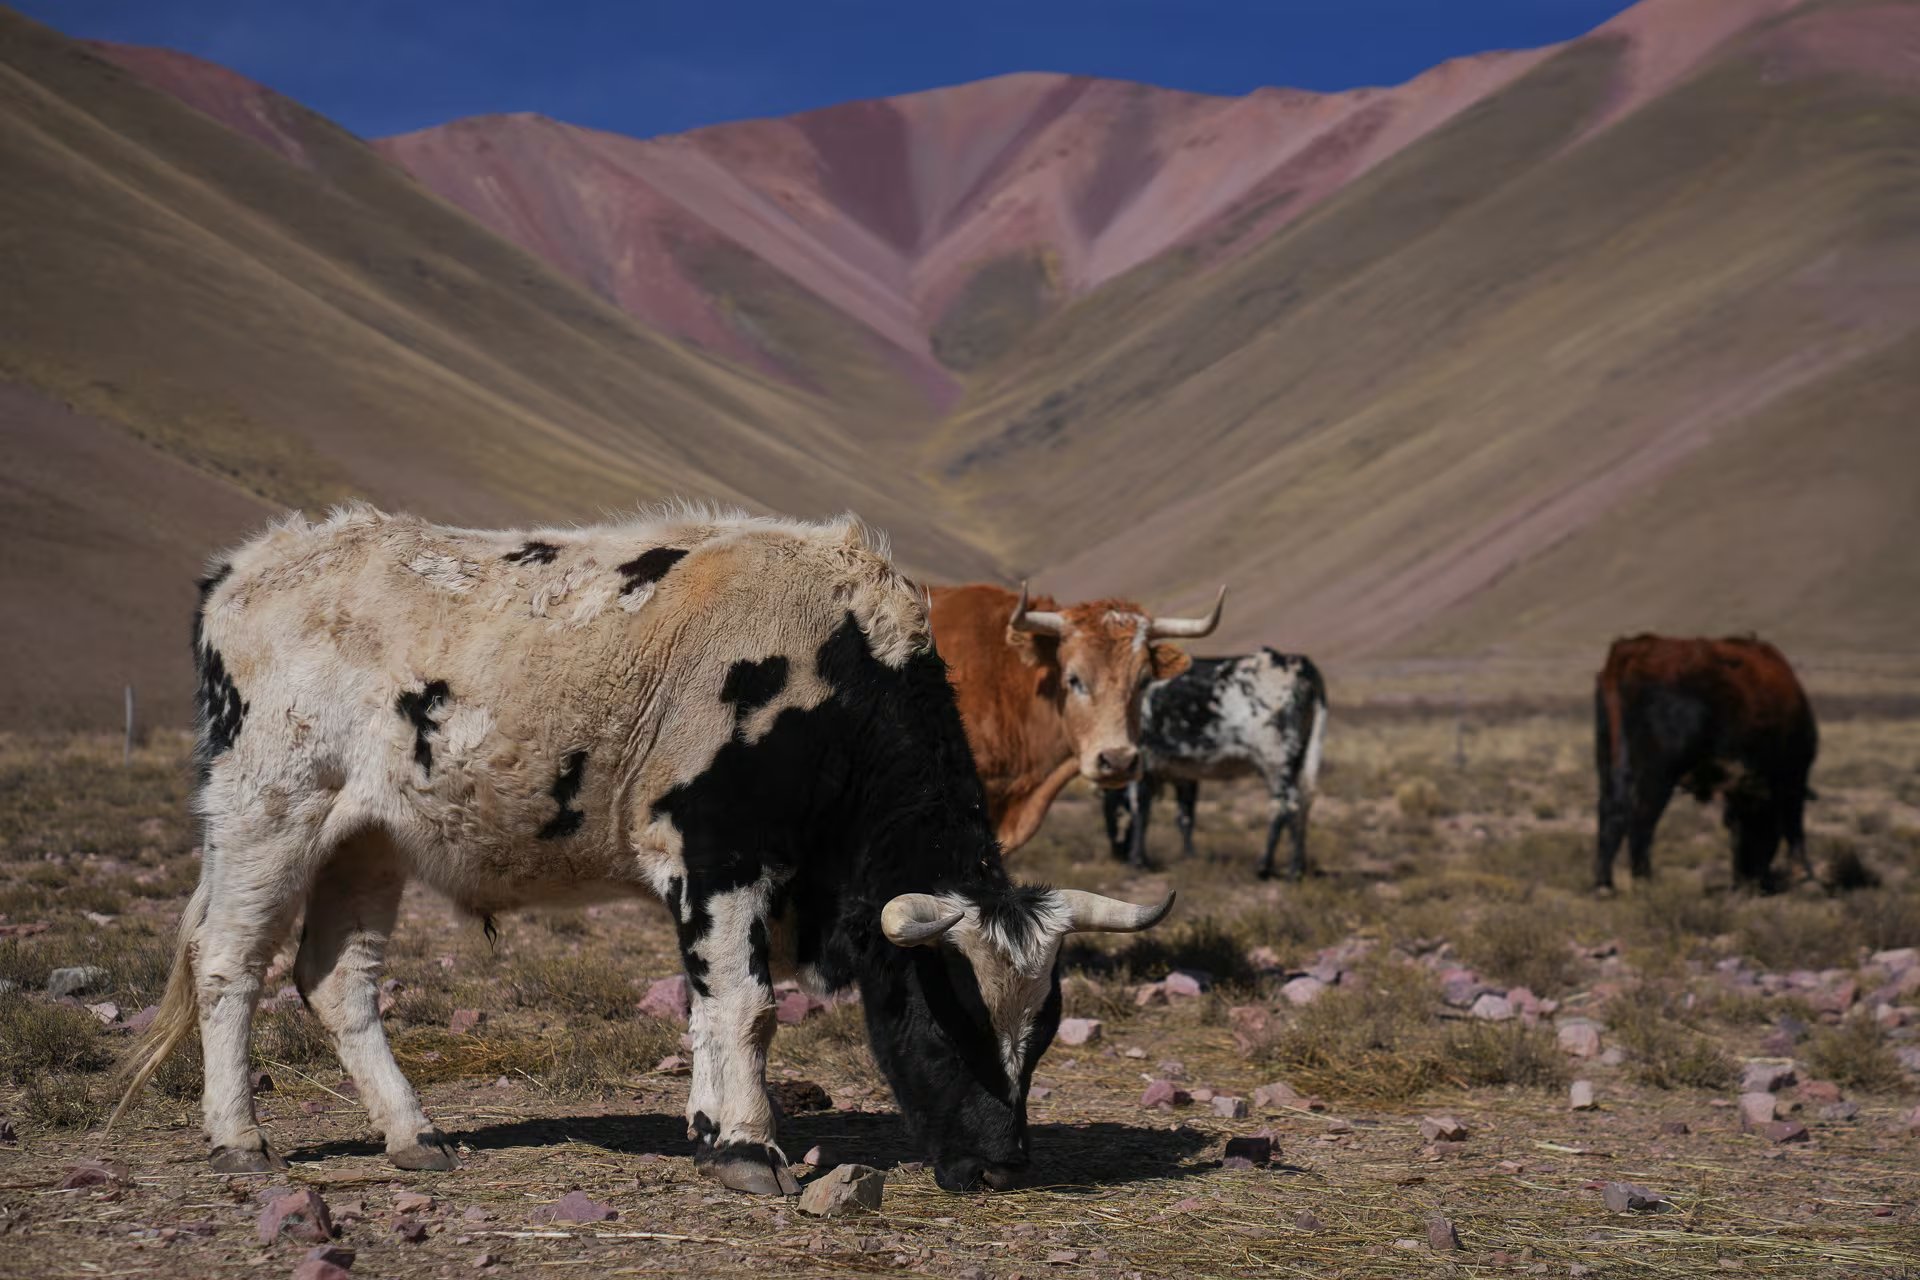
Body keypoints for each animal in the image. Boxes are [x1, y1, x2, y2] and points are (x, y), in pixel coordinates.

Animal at [110, 504, 1175, 1196]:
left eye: (1042, 1029)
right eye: (948, 1017)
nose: (1002, 1164)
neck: (835, 676)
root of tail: (246, 568)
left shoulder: (718, 884)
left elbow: (708, 1006)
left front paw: (709, 1129)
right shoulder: (723, 860)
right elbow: (747, 1007)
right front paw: (749, 1148)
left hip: (365, 843)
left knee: (339, 982)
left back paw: (415, 1136)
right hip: (269, 812)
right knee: (228, 962)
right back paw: (239, 1139)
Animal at [1102, 650, 1327, 878]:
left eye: (1108, 810)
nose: (1116, 854)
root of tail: (1298, 663)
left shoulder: (1143, 765)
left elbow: (1140, 810)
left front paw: (1137, 861)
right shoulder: (1184, 774)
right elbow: (1185, 816)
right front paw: (1189, 857)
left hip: (1275, 760)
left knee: (1286, 806)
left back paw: (1274, 867)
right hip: (1297, 759)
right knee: (1301, 803)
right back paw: (1295, 867)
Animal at [1594, 634, 1817, 893]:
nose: (1747, 879)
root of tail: (1633, 648)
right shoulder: (1794, 774)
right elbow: (1794, 824)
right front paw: (1804, 875)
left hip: (1611, 763)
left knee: (1612, 812)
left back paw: (1605, 885)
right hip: (1657, 776)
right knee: (1641, 820)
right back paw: (1646, 883)